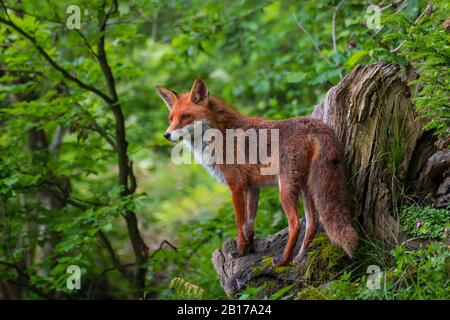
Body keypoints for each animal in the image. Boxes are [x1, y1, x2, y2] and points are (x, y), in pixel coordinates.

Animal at [158, 77, 358, 264]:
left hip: (285, 189)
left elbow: (240, 224)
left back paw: (283, 261)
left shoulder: (236, 186)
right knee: (311, 226)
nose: (166, 135)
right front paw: (249, 249)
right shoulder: (253, 187)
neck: (219, 135)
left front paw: (239, 252)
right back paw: (298, 258)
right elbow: (249, 224)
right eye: (171, 119)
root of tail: (316, 124)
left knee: (295, 225)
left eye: (185, 117)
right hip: (305, 188)